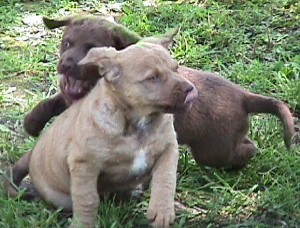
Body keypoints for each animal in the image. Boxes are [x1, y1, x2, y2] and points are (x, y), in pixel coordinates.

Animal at [25, 36, 197, 227]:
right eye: (153, 77)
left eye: (176, 69)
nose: (190, 89)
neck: (137, 123)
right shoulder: (84, 163)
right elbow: (87, 199)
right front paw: (83, 223)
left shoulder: (168, 148)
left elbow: (166, 179)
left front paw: (162, 211)